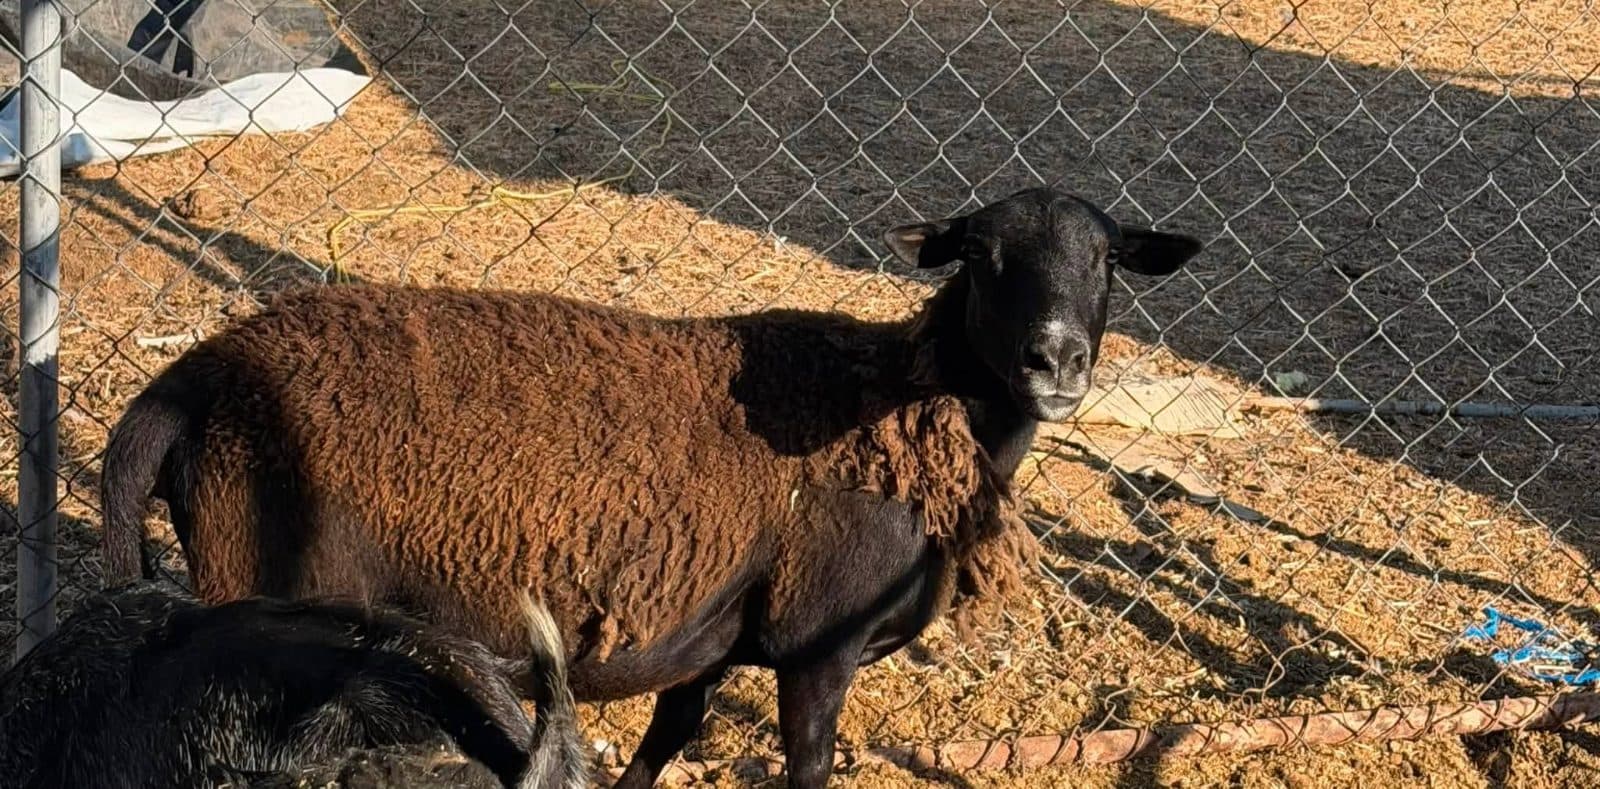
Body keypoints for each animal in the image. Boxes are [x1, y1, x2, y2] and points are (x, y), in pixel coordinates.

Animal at [98, 186, 1203, 788]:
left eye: (1107, 258)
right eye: (981, 254)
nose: (1056, 359)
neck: (903, 408)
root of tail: (194, 379)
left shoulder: (711, 636)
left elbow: (667, 738)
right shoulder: (819, 648)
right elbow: (804, 767)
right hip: (270, 591)